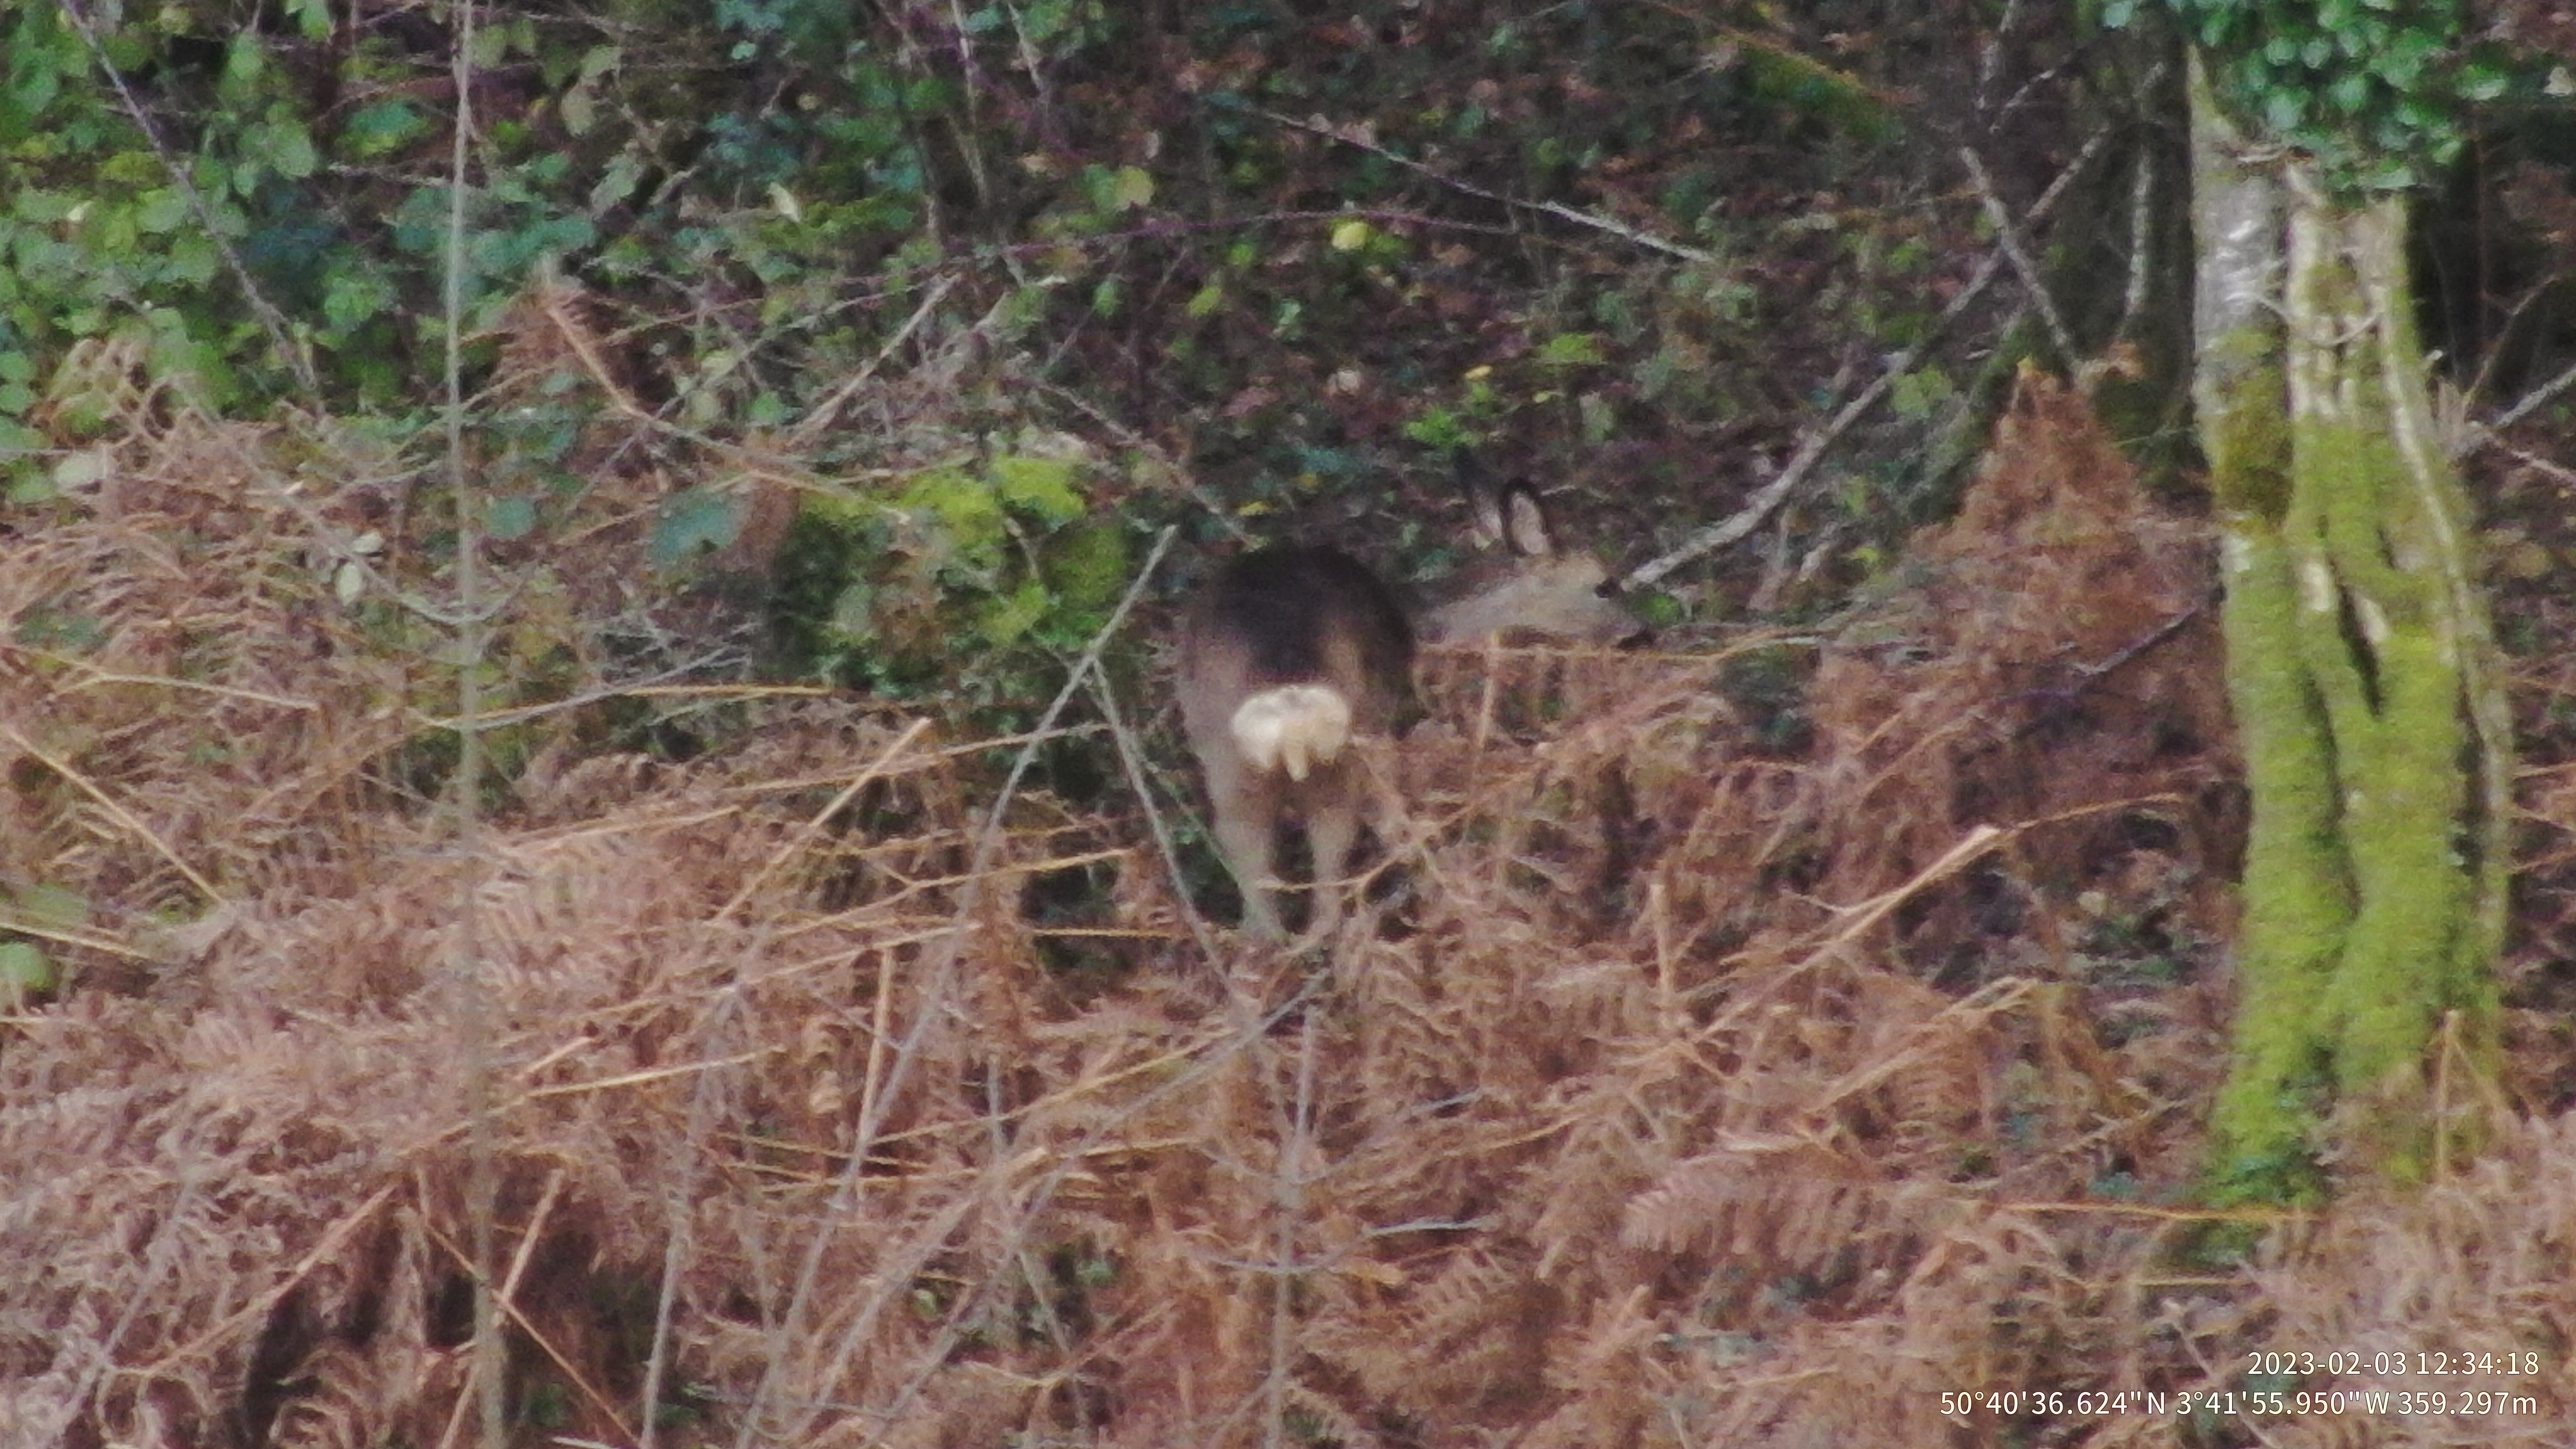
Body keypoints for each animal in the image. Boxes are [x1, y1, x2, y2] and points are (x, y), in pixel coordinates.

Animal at [1180, 461, 1638, 938]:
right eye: (1604, 585)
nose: (1638, 634)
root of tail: (1286, 686)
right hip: (1348, 745)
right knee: (1330, 868)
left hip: (1223, 754)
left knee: (1253, 881)